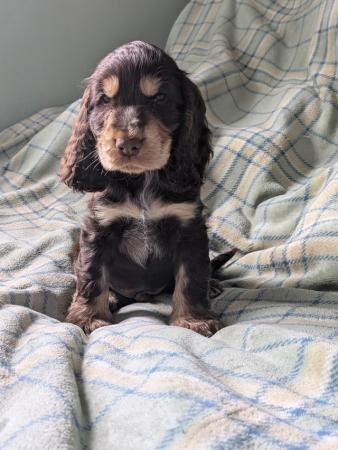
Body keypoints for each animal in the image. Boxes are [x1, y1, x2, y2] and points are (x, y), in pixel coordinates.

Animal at [61, 41, 226, 338]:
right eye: (105, 100)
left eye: (159, 98)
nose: (128, 144)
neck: (141, 180)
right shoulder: (99, 227)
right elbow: (91, 274)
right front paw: (88, 317)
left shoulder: (189, 227)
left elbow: (191, 276)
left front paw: (193, 319)